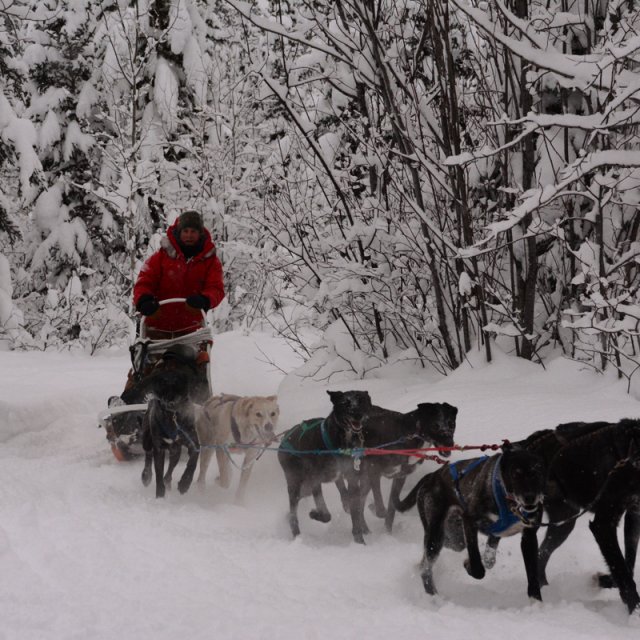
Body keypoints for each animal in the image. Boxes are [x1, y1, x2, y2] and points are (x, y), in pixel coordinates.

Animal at [139, 350, 200, 500]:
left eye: (178, 383)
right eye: (162, 384)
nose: (171, 399)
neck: (173, 416)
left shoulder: (193, 443)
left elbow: (192, 463)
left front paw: (185, 483)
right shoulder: (159, 448)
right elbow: (158, 474)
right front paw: (160, 496)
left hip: (175, 451)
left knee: (170, 468)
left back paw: (168, 481)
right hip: (147, 439)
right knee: (148, 455)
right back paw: (146, 476)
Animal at [276, 390, 376, 544]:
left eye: (361, 400)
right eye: (345, 403)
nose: (357, 414)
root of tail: (285, 436)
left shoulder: (352, 479)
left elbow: (356, 512)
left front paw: (360, 541)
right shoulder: (315, 480)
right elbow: (326, 513)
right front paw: (314, 514)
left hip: (308, 486)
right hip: (296, 483)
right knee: (293, 513)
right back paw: (297, 534)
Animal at [398, 444, 544, 600]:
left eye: (537, 472)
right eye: (515, 475)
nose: (530, 497)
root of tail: (432, 476)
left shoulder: (529, 535)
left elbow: (532, 574)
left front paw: (536, 601)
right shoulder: (469, 520)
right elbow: (476, 565)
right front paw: (469, 564)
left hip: (454, 537)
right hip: (436, 536)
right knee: (425, 566)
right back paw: (433, 595)